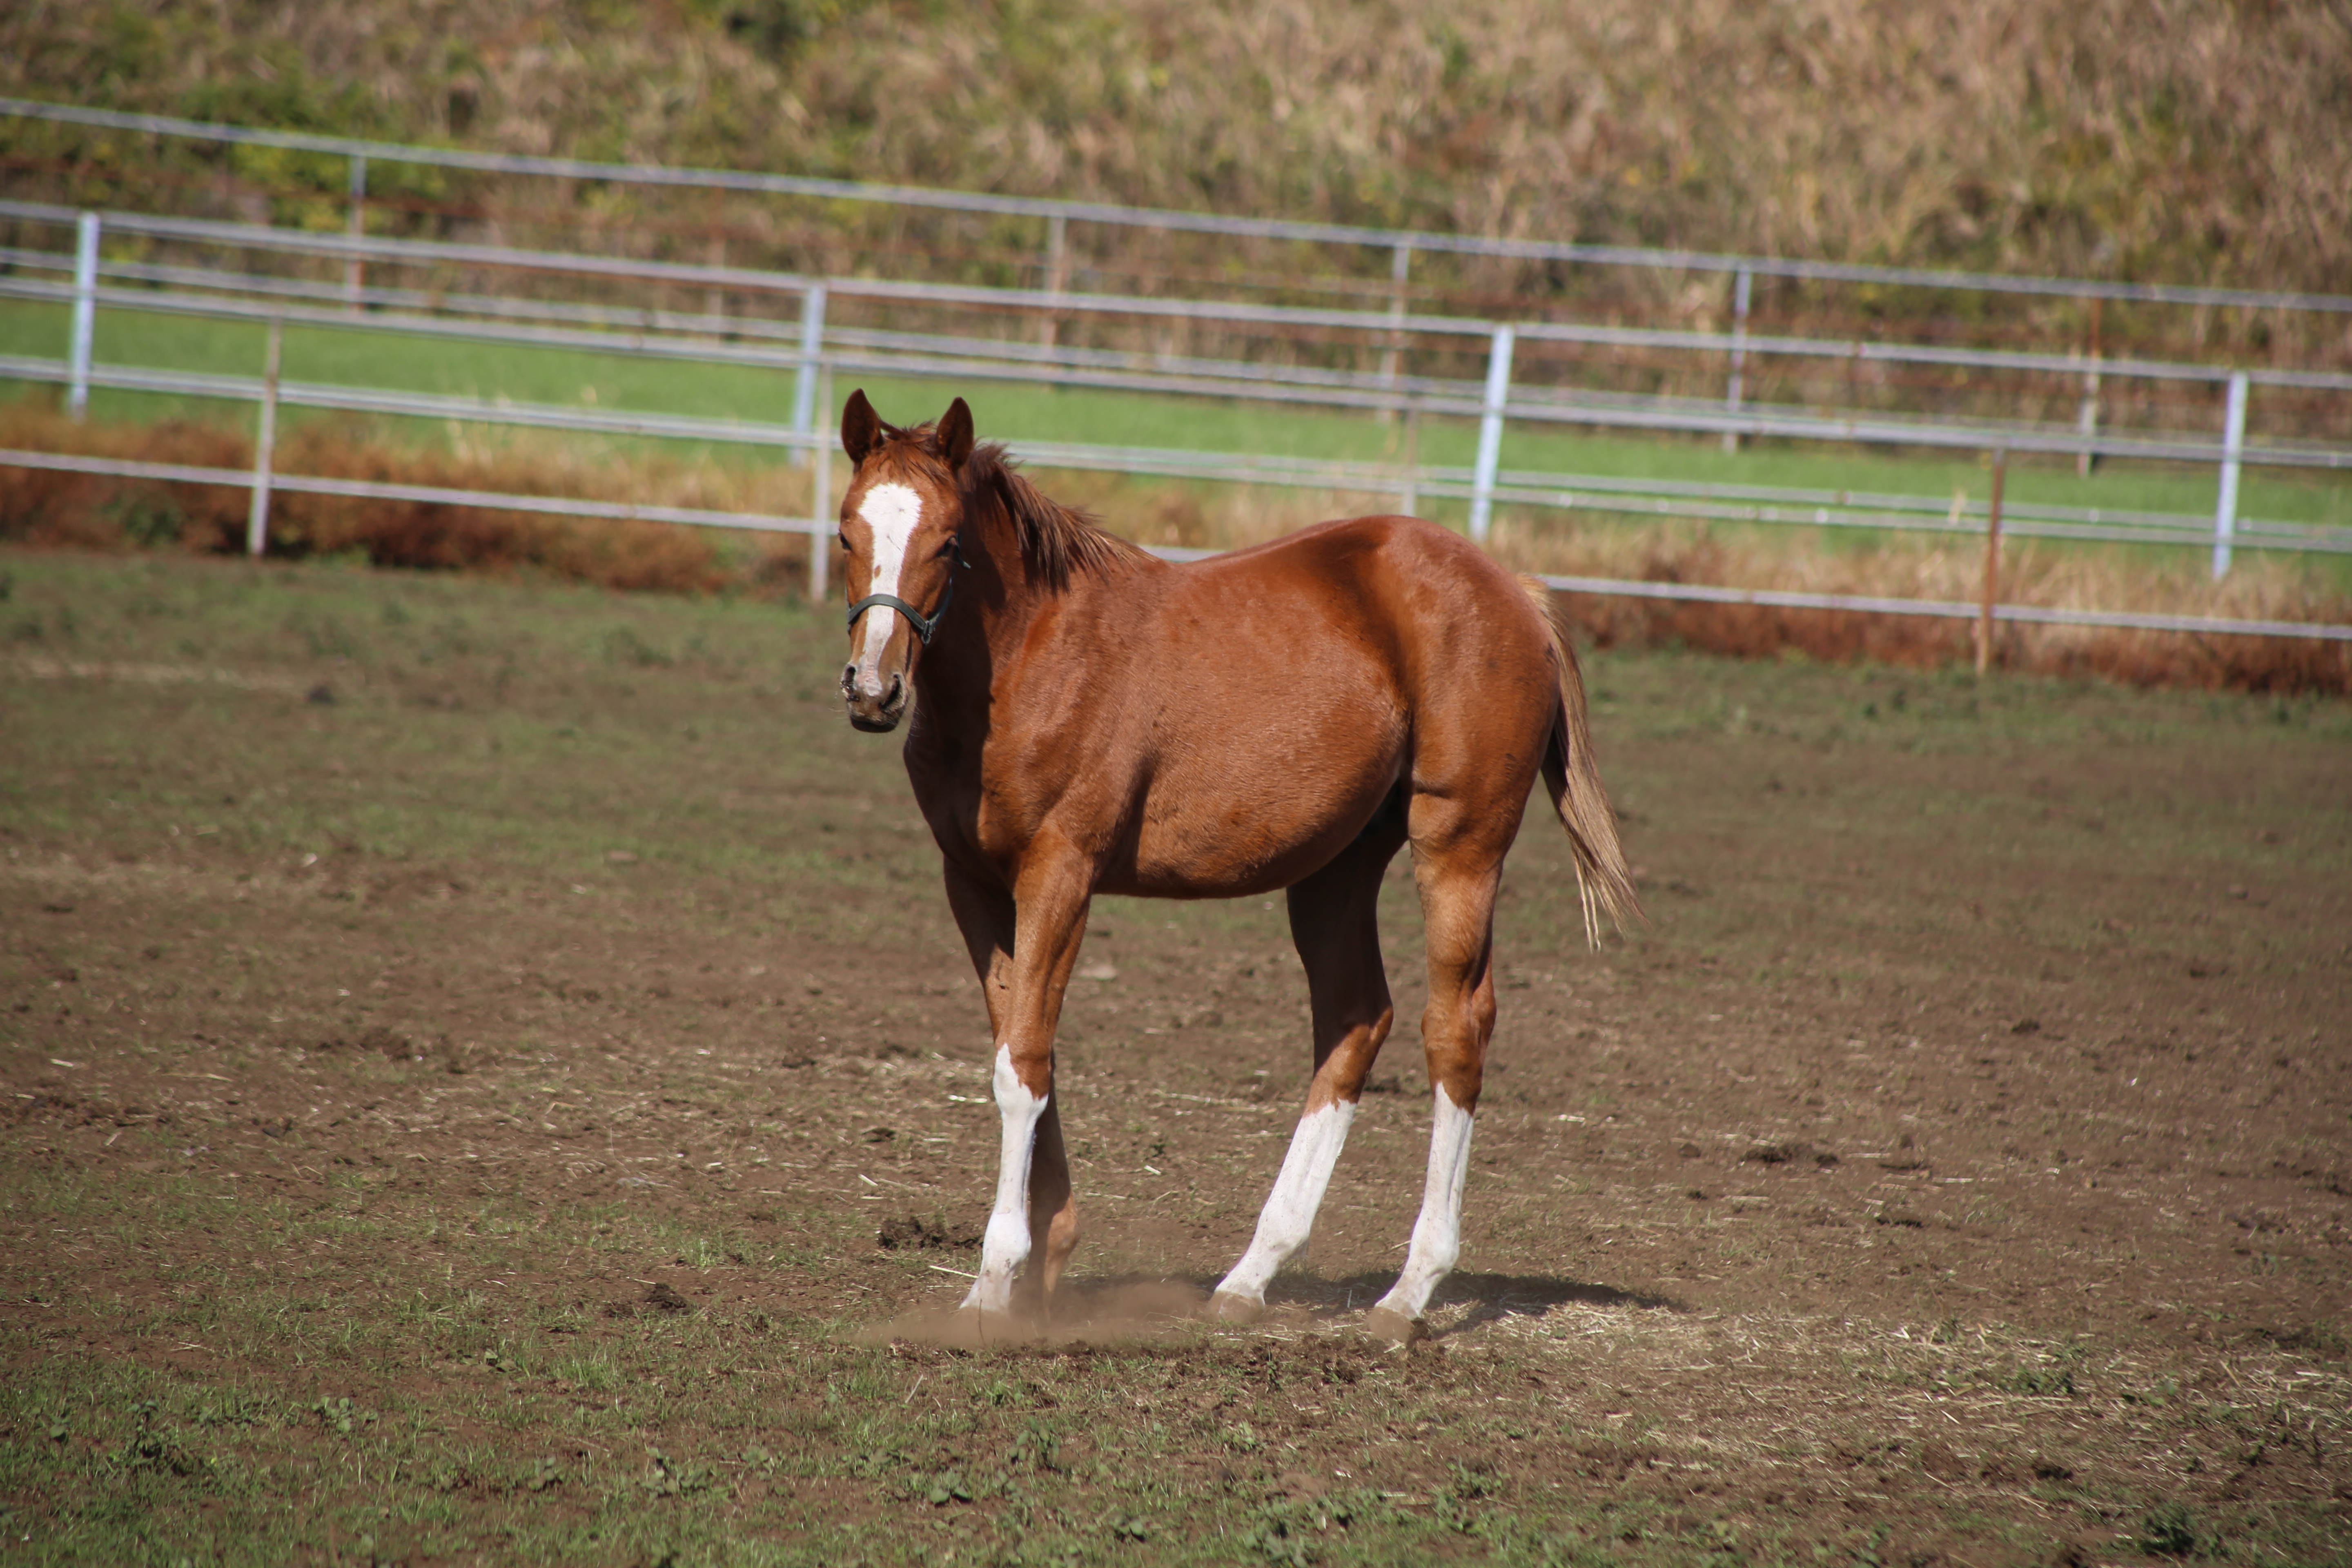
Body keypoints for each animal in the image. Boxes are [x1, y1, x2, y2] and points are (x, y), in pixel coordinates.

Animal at [833, 390, 1637, 1335]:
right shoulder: (973, 883)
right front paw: (1045, 1263)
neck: (1031, 656)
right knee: (1354, 1020)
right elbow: (1022, 1050)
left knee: (1456, 1028)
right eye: (847, 532)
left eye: (948, 543)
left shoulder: (1061, 874)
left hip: (1460, 847)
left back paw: (1409, 1292)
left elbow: (1021, 1064)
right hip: (1336, 870)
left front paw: (995, 1281)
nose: (873, 691)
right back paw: (1252, 1274)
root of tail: (1515, 589)